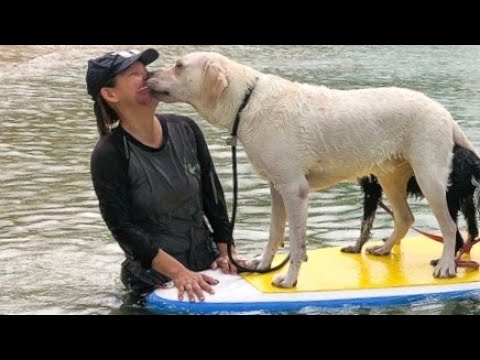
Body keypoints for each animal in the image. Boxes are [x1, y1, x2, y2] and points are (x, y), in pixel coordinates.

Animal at [342, 145, 480, 260]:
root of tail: (473, 162)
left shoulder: (372, 189)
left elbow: (366, 224)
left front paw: (356, 248)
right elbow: (397, 217)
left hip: (447, 200)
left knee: (456, 235)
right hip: (465, 200)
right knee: (472, 232)